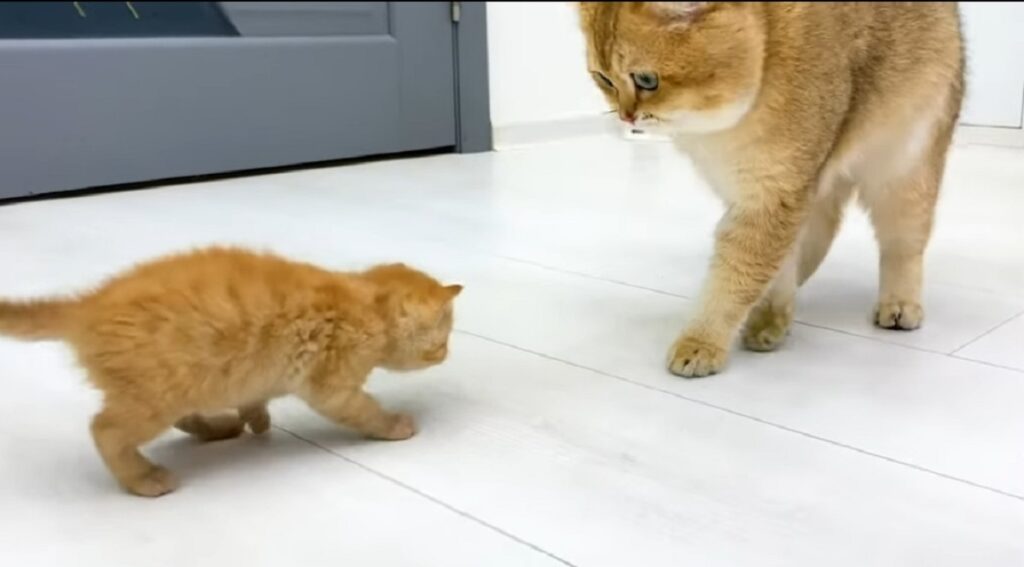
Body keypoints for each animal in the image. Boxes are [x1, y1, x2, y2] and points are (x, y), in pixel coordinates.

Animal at [0, 247, 464, 495]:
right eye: (442, 341)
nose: (446, 356)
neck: (363, 303)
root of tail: (86, 307)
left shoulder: (262, 371)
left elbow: (255, 397)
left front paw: (255, 418)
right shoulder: (331, 384)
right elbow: (364, 410)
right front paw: (394, 425)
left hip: (182, 387)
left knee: (182, 418)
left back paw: (219, 428)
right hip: (155, 396)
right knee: (105, 429)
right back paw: (143, 479)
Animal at [577, 4, 958, 376]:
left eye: (646, 80)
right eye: (604, 79)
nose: (626, 117)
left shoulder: (774, 197)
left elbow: (737, 275)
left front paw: (701, 343)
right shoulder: (772, 194)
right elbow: (775, 262)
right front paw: (769, 317)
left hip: (903, 170)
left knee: (902, 247)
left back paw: (899, 305)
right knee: (821, 229)